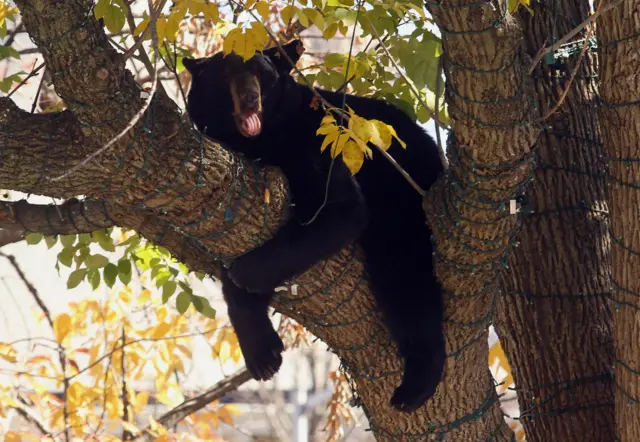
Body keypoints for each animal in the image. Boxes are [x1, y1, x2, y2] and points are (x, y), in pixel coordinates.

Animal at [184, 39, 444, 412]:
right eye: (226, 73)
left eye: (261, 72)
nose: (250, 97)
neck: (261, 142)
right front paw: (262, 353)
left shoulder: (318, 141)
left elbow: (340, 210)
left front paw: (245, 273)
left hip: (402, 203)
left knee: (407, 279)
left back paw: (415, 386)